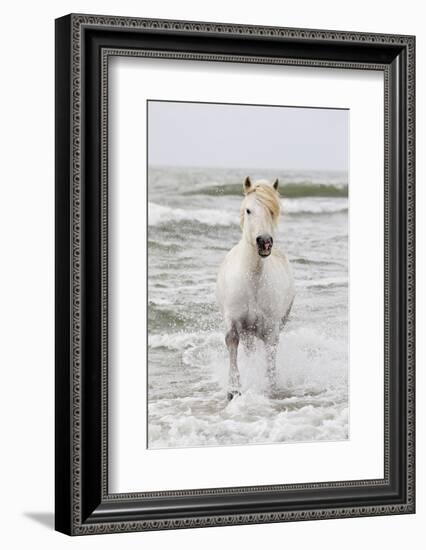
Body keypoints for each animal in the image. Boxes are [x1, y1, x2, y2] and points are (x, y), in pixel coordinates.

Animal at [216, 177, 296, 402]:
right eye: (249, 210)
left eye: (271, 210)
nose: (265, 242)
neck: (252, 281)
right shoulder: (233, 322)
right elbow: (232, 344)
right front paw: (233, 390)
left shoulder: (271, 328)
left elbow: (270, 357)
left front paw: (270, 388)